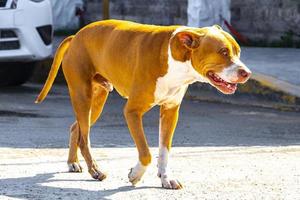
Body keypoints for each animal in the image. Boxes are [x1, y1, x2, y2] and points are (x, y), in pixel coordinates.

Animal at [35, 19, 251, 190]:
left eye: (238, 52)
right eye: (223, 52)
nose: (247, 73)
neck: (176, 61)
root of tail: (76, 36)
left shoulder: (170, 112)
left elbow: (164, 150)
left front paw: (166, 178)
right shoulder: (132, 112)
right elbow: (146, 153)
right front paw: (135, 175)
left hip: (95, 102)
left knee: (76, 128)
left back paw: (73, 163)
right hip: (83, 96)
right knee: (84, 138)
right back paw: (95, 170)